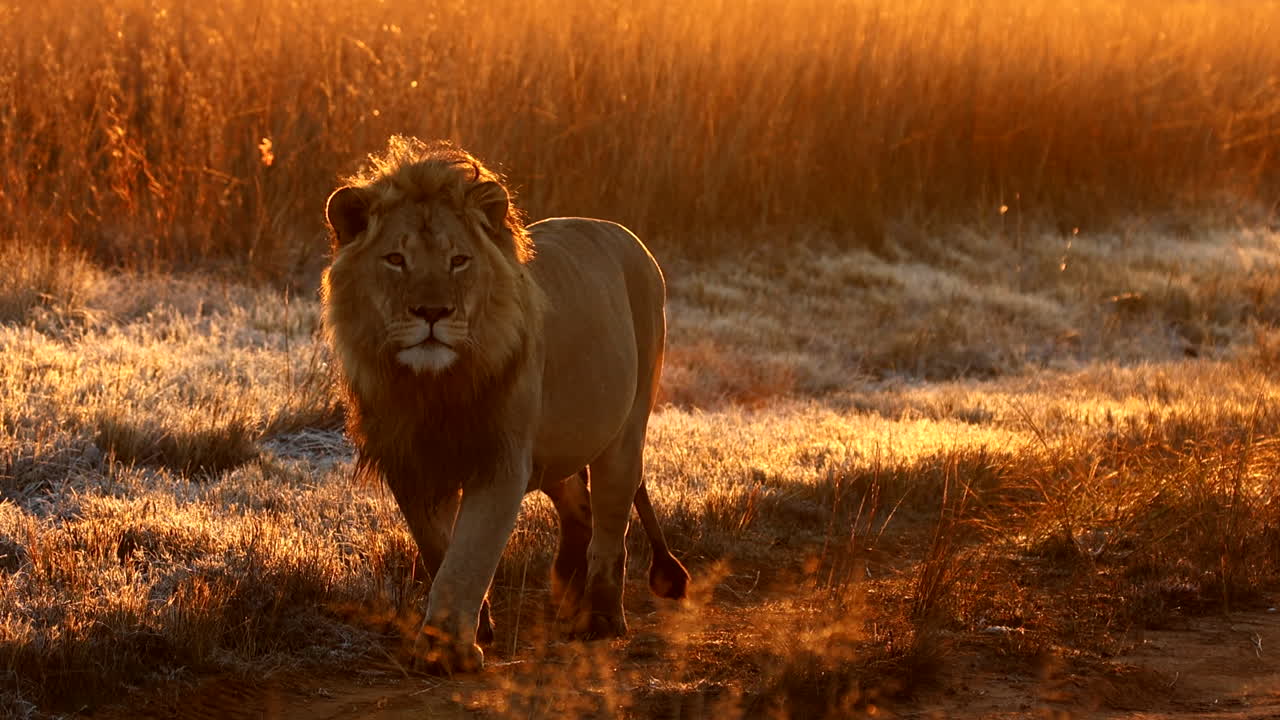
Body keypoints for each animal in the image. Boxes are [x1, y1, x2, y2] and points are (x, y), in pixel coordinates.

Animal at [321, 136, 690, 672]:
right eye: (395, 259)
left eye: (458, 260)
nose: (432, 312)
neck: (431, 386)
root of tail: (618, 231)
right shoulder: (411, 464)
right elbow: (439, 550)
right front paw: (477, 627)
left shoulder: (500, 460)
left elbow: (469, 554)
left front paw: (448, 651)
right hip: (557, 447)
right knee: (578, 508)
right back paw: (565, 595)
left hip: (624, 434)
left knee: (610, 526)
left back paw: (599, 618)